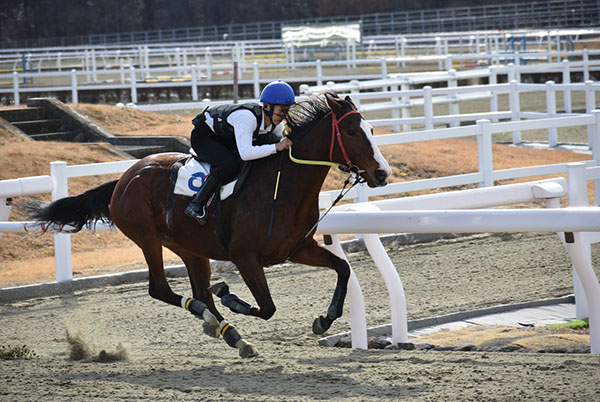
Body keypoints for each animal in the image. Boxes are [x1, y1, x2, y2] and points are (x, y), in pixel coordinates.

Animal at [27, 92, 392, 358]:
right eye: (350, 131)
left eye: (372, 130)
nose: (382, 173)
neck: (282, 185)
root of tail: (124, 178)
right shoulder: (245, 256)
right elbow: (267, 307)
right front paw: (231, 296)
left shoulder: (298, 248)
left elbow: (343, 269)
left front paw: (324, 319)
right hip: (147, 237)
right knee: (163, 289)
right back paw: (209, 316)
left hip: (190, 248)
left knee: (199, 292)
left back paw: (228, 332)